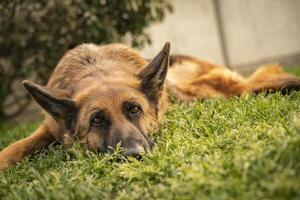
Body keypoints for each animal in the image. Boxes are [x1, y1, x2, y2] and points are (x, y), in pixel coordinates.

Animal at [0, 42, 300, 170]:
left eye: (134, 109)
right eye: (97, 120)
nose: (134, 155)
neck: (96, 70)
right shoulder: (48, 128)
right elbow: (14, 147)